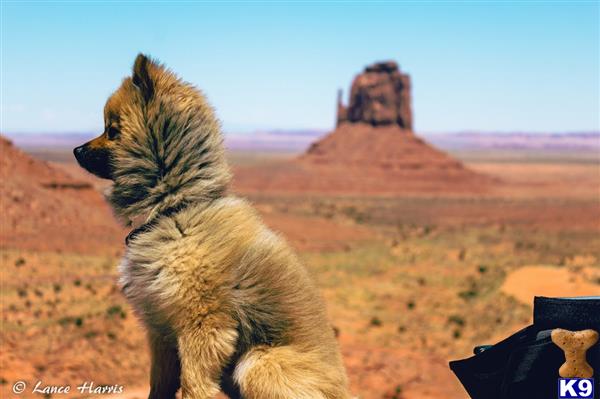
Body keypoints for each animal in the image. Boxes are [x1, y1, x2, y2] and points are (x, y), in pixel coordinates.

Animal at [73, 55, 352, 399]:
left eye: (112, 130)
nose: (76, 150)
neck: (174, 209)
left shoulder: (203, 327)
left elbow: (193, 385)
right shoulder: (161, 330)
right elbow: (159, 384)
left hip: (259, 362)